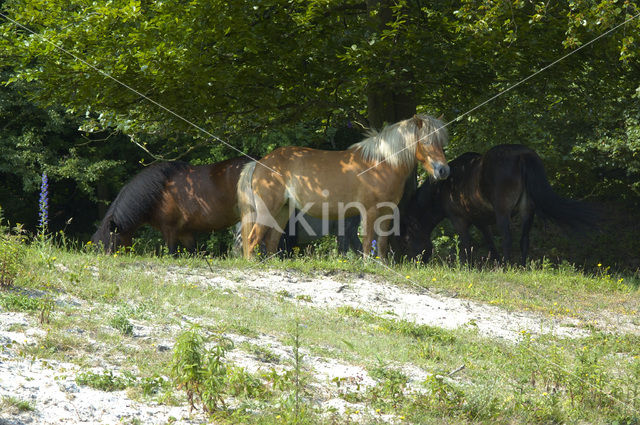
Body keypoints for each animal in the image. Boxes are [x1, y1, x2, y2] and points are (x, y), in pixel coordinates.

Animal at [236, 113, 450, 258]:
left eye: (442, 143)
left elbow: (381, 242)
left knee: (270, 241)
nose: (443, 171)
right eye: (426, 141)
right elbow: (367, 241)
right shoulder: (369, 211)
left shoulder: (387, 211)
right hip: (267, 209)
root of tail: (258, 163)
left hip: (282, 211)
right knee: (252, 239)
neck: (381, 163)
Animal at [396, 146, 600, 264]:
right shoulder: (480, 220)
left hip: (503, 212)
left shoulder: (459, 220)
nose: (414, 262)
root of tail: (522, 155)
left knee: (508, 238)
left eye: (406, 239)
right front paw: (493, 262)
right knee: (524, 240)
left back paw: (507, 266)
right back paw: (520, 266)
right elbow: (489, 241)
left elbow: (466, 243)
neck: (444, 187)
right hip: (527, 211)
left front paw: (466, 265)